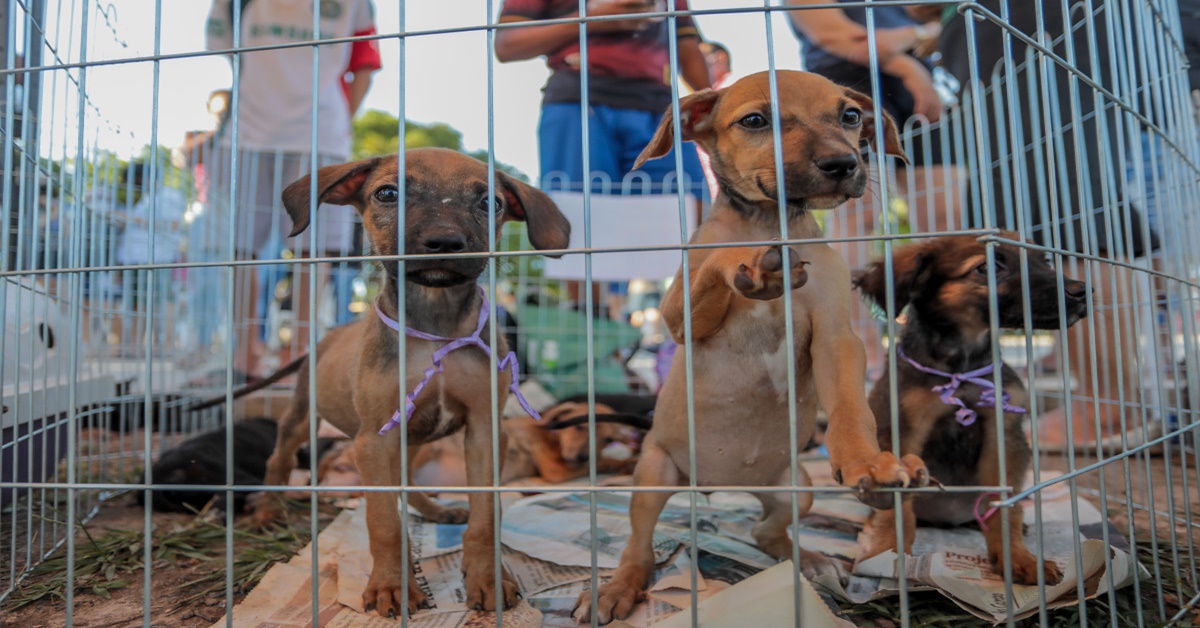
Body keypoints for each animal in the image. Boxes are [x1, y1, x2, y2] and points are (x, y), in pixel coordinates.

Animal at [576, 68, 931, 624]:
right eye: (755, 121)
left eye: (851, 115)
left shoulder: (836, 337)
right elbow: (720, 265)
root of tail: (720, 486)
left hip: (796, 489)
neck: (770, 225)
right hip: (653, 474)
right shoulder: (677, 316)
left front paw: (868, 463)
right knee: (639, 542)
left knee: (765, 531)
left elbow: (852, 409)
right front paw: (747, 263)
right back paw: (618, 588)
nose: (843, 164)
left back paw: (812, 556)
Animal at [854, 232, 1089, 588]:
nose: (1081, 291)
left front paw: (1018, 558)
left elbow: (1005, 506)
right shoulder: (902, 430)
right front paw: (888, 552)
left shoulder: (1002, 433)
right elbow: (898, 506)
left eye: (1045, 260)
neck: (962, 365)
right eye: (987, 267)